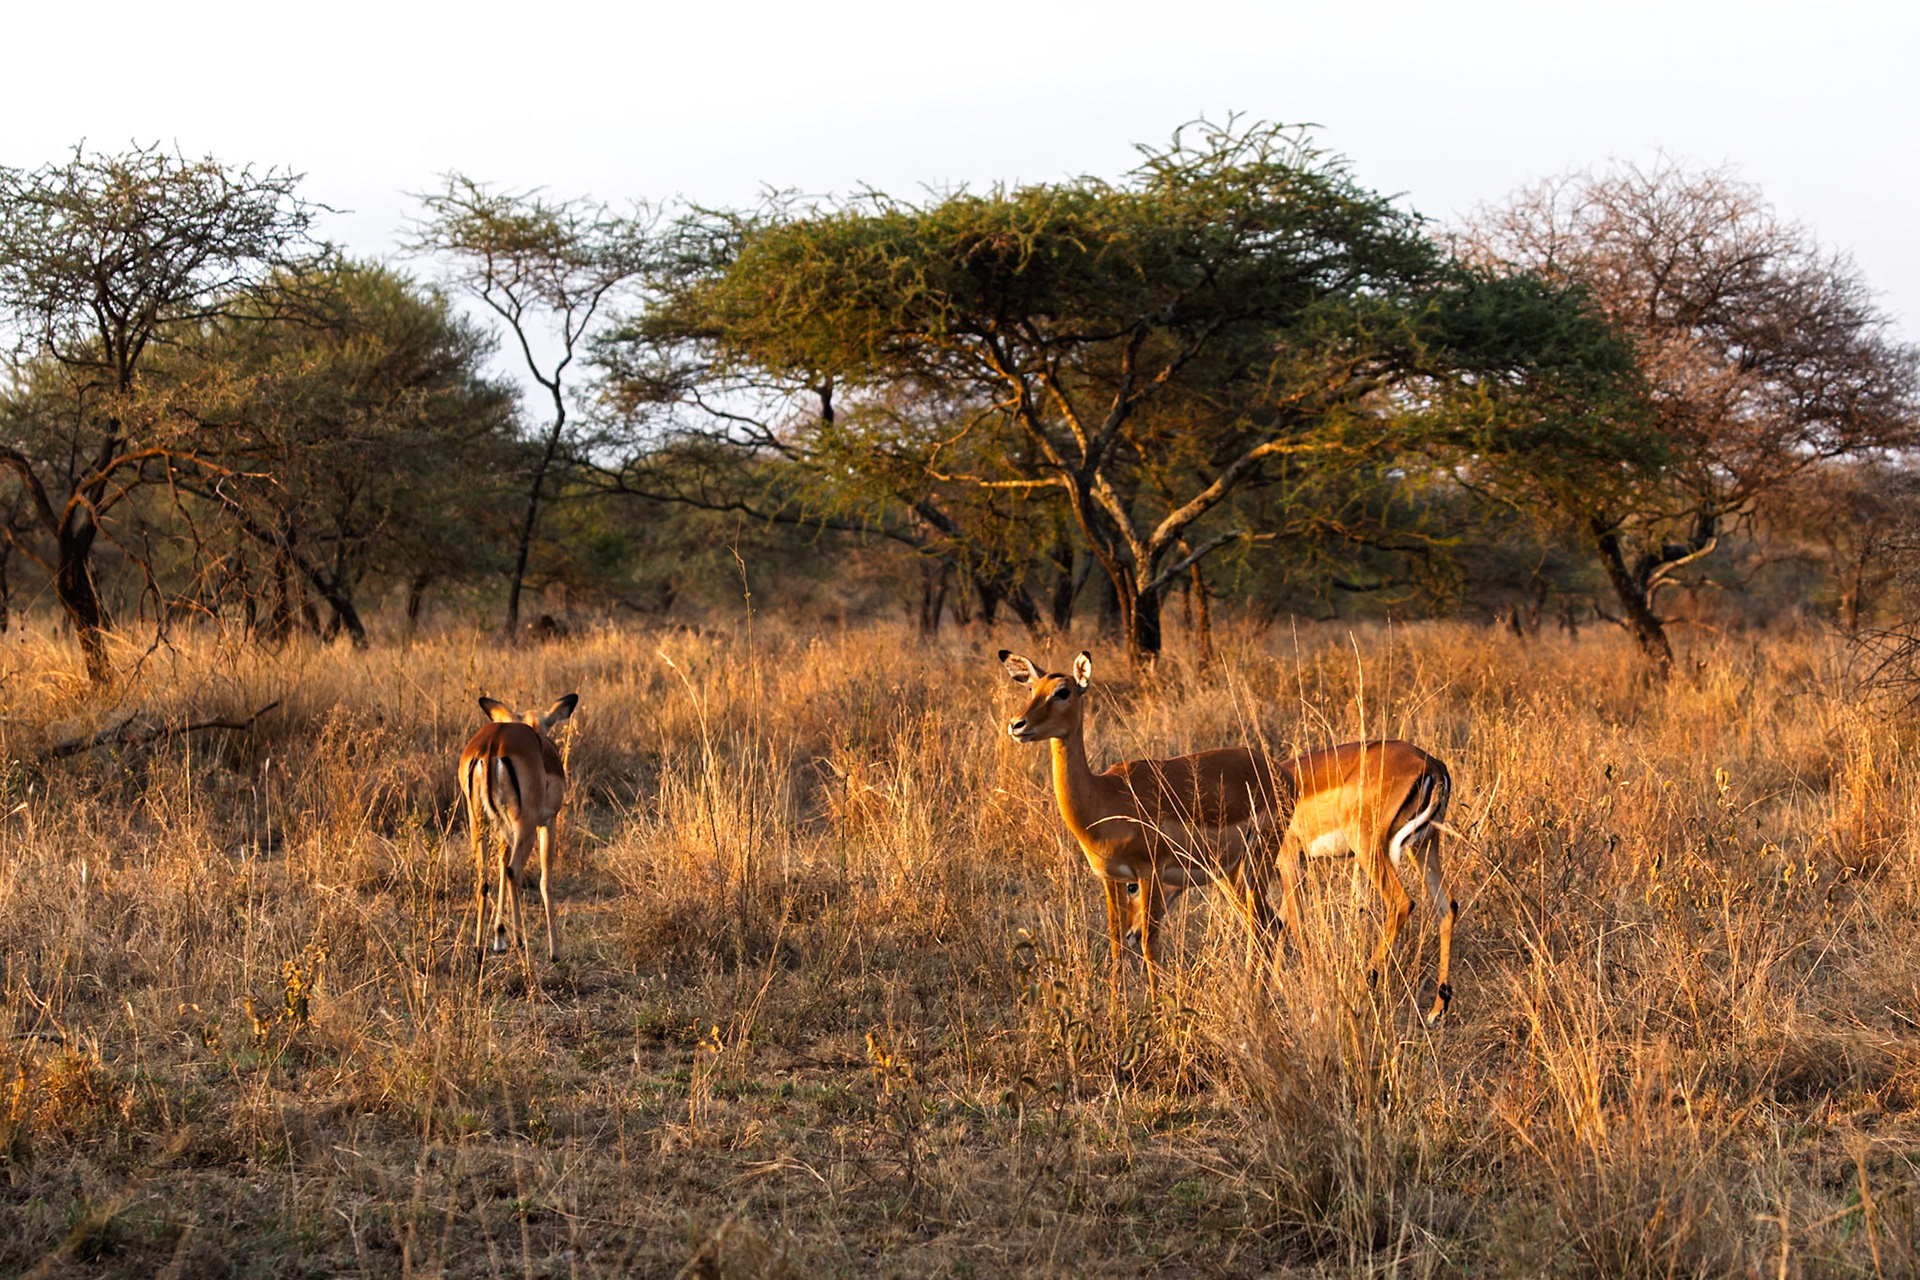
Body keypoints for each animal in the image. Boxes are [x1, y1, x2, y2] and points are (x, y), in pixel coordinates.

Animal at [459, 693, 578, 968]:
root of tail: (492, 743)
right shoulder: (548, 822)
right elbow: (545, 880)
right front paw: (555, 951)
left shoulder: (503, 829)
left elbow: (501, 866)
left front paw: (499, 938)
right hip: (527, 826)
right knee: (515, 871)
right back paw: (521, 943)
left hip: (479, 822)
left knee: (485, 876)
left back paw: (478, 951)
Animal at [999, 650, 1292, 996]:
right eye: (1032, 689)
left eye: (1063, 691)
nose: (1017, 724)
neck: (1106, 797)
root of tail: (1281, 773)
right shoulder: (1111, 878)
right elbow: (1116, 943)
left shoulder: (1149, 872)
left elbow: (1149, 945)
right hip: (1229, 872)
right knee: (1268, 925)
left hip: (1256, 862)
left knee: (1263, 926)